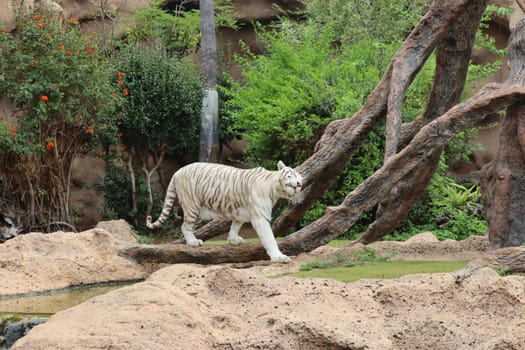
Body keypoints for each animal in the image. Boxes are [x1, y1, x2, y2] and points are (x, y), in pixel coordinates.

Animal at [147, 161, 302, 262]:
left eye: (300, 178)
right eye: (291, 176)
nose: (299, 184)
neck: (274, 188)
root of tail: (177, 172)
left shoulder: (240, 212)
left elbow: (235, 225)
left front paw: (233, 240)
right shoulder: (260, 217)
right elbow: (270, 238)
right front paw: (279, 257)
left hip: (199, 211)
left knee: (187, 226)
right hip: (192, 206)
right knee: (184, 226)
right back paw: (193, 242)